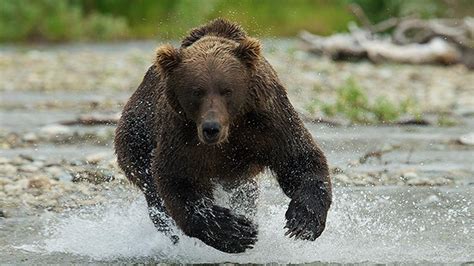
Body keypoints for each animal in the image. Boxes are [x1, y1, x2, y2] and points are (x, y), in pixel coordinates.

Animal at [115, 19, 332, 254]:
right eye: (197, 91)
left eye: (226, 90)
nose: (211, 128)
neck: (231, 129)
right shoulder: (181, 135)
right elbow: (178, 181)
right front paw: (237, 232)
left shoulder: (268, 121)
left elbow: (298, 159)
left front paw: (302, 222)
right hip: (136, 141)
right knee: (156, 197)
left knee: (245, 195)